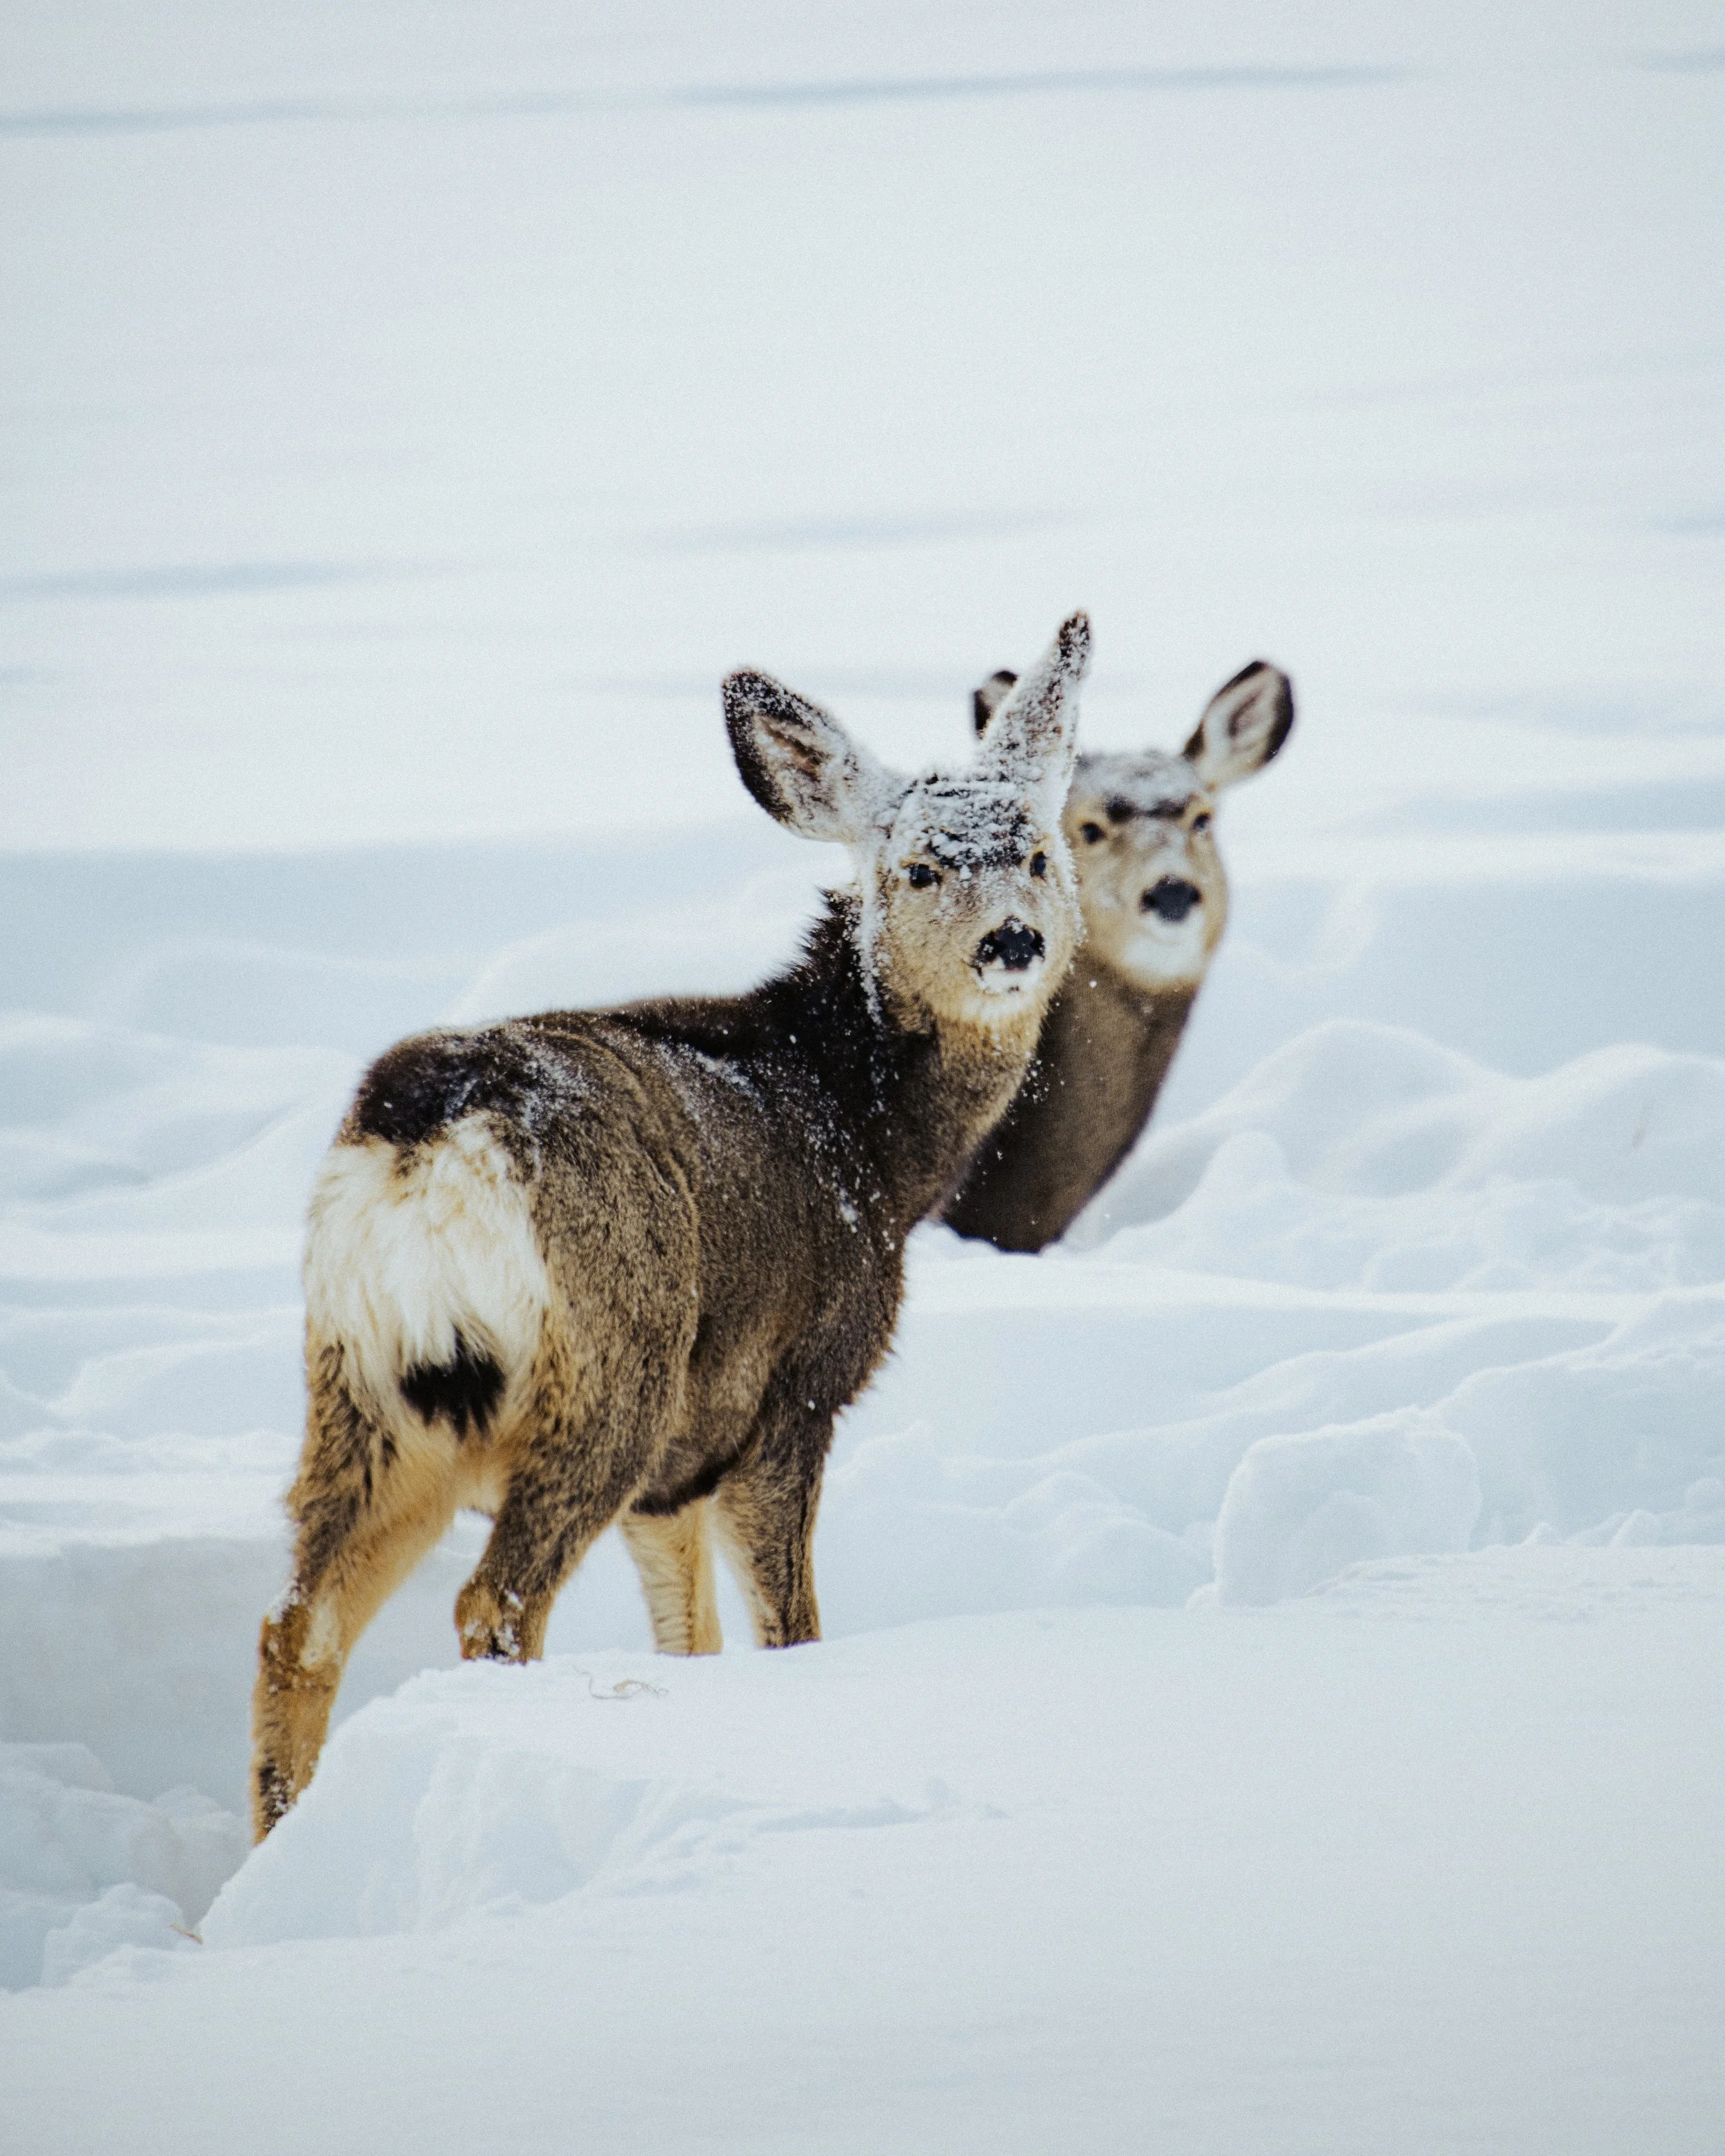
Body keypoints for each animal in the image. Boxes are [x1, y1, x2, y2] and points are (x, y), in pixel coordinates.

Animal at [250, 613, 1090, 1838]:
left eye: (1038, 853)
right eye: (919, 867)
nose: (1014, 944)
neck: (868, 1140)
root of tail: (432, 1136)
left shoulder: (678, 1474)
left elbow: (690, 1637)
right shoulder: (792, 1393)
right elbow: (788, 1629)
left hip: (363, 1385)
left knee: (297, 1622)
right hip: (609, 1365)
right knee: (492, 1602)